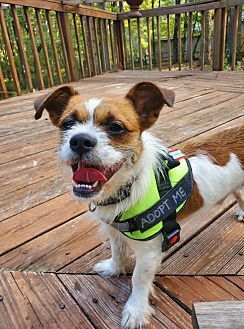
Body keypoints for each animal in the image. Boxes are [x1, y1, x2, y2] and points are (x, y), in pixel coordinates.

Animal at [34, 82, 244, 328]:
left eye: (116, 127)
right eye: (67, 124)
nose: (79, 140)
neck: (126, 188)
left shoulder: (149, 252)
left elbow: (138, 280)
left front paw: (136, 310)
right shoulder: (115, 231)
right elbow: (117, 251)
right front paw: (114, 269)